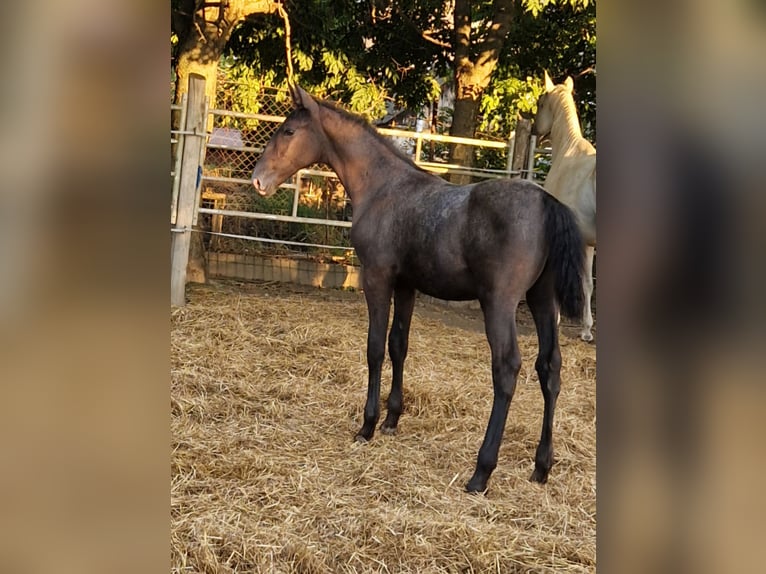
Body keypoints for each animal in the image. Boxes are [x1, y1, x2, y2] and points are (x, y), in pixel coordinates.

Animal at [255, 85, 584, 496]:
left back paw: (481, 472)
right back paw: (541, 467)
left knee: (507, 368)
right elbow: (400, 345)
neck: (383, 187)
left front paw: (367, 425)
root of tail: (546, 201)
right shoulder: (407, 284)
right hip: (542, 299)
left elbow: (375, 347)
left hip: (500, 302)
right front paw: (392, 420)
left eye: (288, 131)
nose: (258, 180)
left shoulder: (376, 278)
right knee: (550, 368)